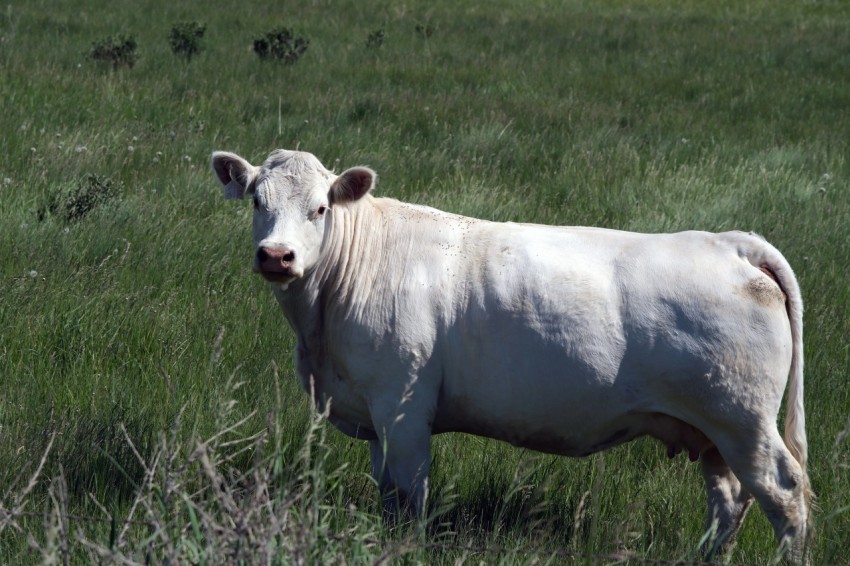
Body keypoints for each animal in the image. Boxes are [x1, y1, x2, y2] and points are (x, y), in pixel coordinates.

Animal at [210, 149, 808, 560]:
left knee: (785, 493)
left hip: (742, 419)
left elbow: (409, 496)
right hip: (714, 432)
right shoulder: (375, 412)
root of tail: (731, 242)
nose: (277, 256)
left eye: (319, 208)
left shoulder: (402, 406)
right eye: (258, 202)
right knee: (729, 500)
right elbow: (388, 496)